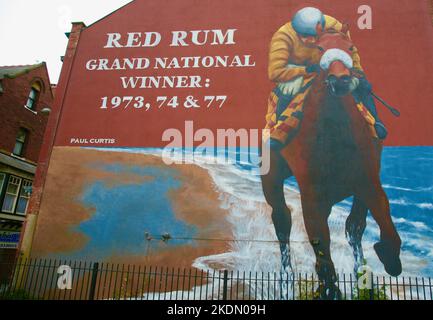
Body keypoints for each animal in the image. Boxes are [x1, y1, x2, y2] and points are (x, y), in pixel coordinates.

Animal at [260, 27, 402, 300]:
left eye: (350, 47)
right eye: (319, 48)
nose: (340, 80)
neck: (334, 134)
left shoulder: (368, 182)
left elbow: (385, 232)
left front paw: (386, 259)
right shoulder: (312, 195)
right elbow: (322, 253)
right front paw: (328, 288)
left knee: (354, 226)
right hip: (272, 178)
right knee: (282, 219)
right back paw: (286, 279)